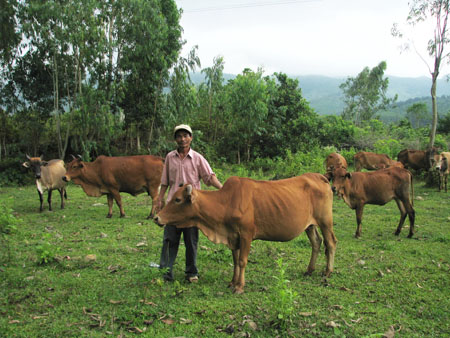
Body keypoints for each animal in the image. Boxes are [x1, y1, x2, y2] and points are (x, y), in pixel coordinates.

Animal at [153, 173, 336, 294]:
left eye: (177, 199)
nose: (157, 217)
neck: (227, 202)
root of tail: (319, 176)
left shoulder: (246, 234)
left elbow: (242, 261)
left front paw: (240, 286)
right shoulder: (233, 237)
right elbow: (235, 260)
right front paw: (232, 282)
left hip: (325, 221)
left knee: (330, 243)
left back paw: (327, 272)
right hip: (309, 225)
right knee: (316, 242)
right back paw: (309, 270)